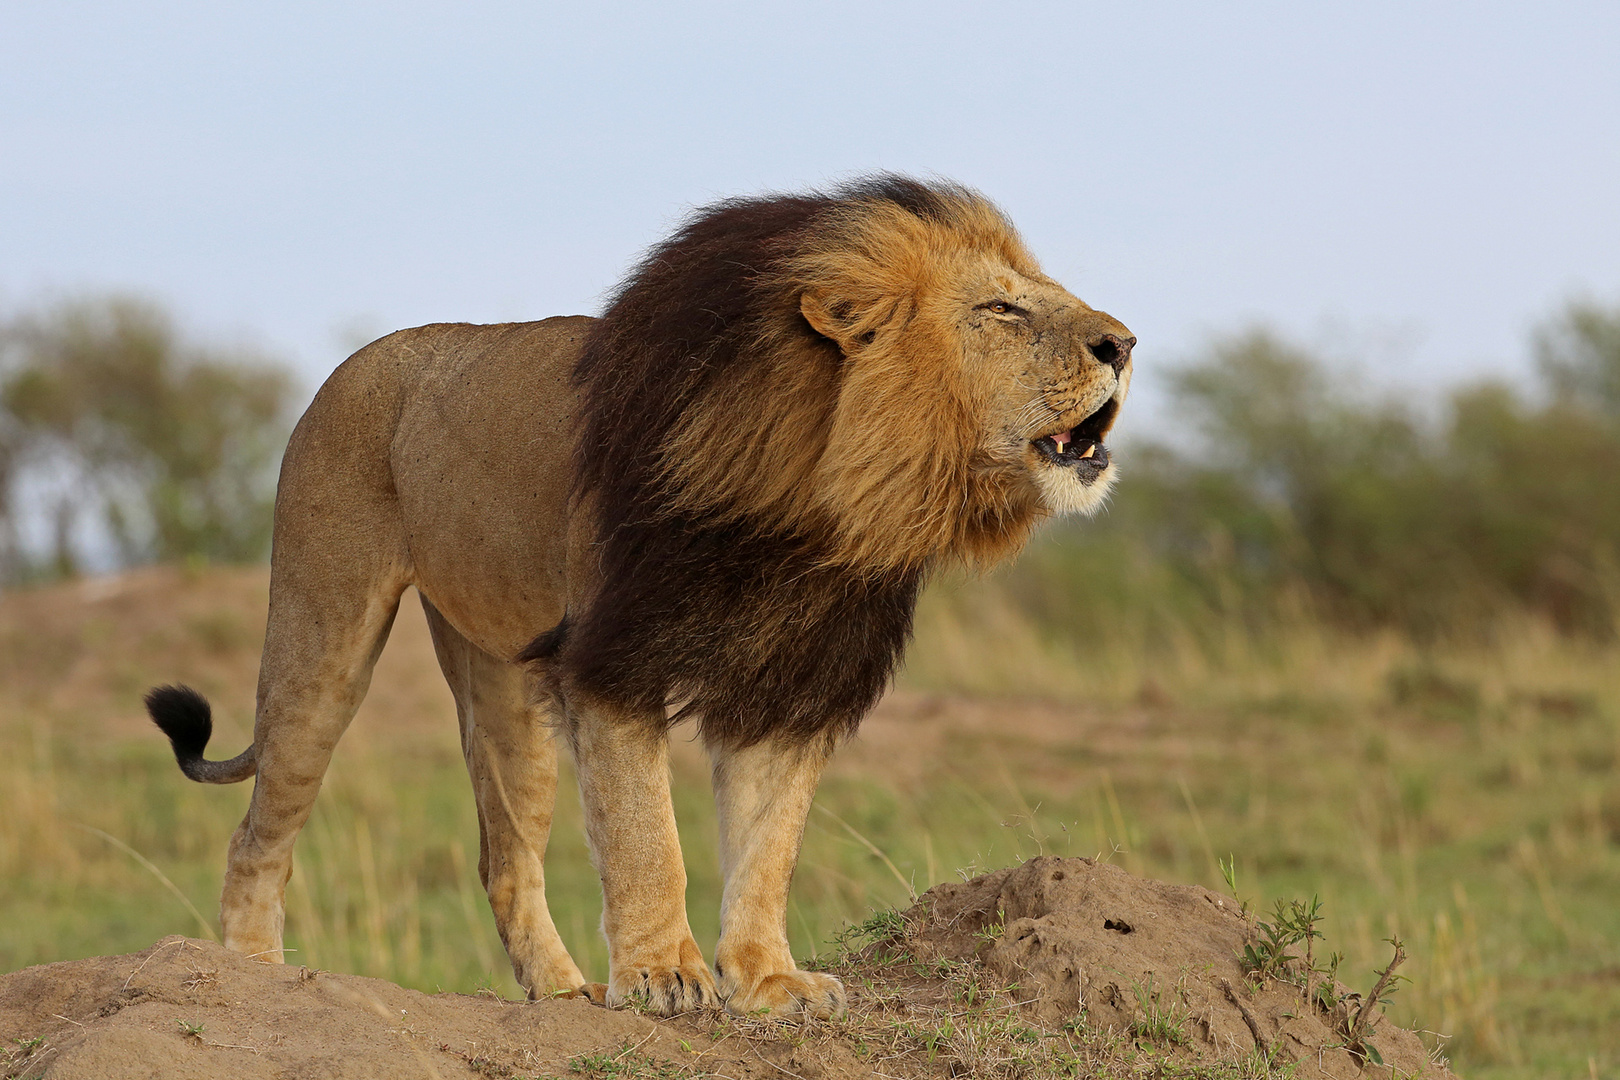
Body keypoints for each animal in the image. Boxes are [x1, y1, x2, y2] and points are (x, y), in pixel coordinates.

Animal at [149, 173, 1140, 1016]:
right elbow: (646, 837)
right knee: (260, 829)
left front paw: (768, 980)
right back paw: (253, 972)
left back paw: (561, 993)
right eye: (1001, 308)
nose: (1124, 344)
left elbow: (768, 846)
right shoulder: (612, 661)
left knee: (505, 854)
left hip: (501, 683)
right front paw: (665, 976)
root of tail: (358, 361)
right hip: (324, 629)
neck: (821, 502)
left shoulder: (793, 684)